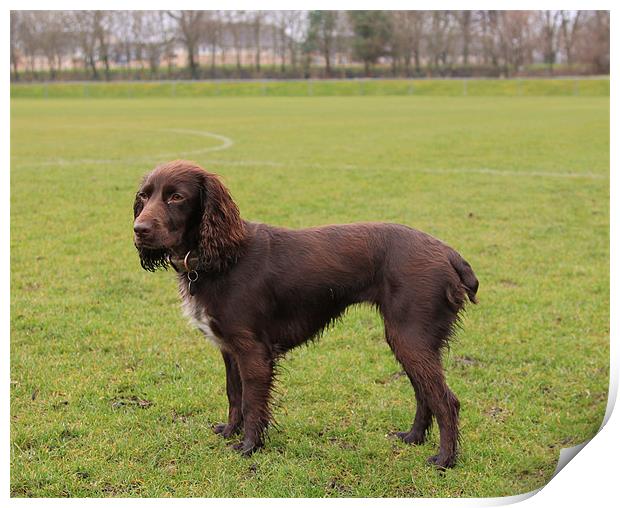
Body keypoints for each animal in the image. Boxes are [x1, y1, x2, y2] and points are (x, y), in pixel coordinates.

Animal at [133, 159, 478, 468]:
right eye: (144, 196)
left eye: (176, 197)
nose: (139, 229)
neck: (221, 257)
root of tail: (448, 253)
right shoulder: (229, 349)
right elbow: (234, 394)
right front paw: (230, 431)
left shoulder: (253, 351)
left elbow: (251, 401)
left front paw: (249, 446)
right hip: (409, 341)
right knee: (424, 393)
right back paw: (413, 437)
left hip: (409, 337)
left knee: (445, 400)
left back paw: (444, 460)